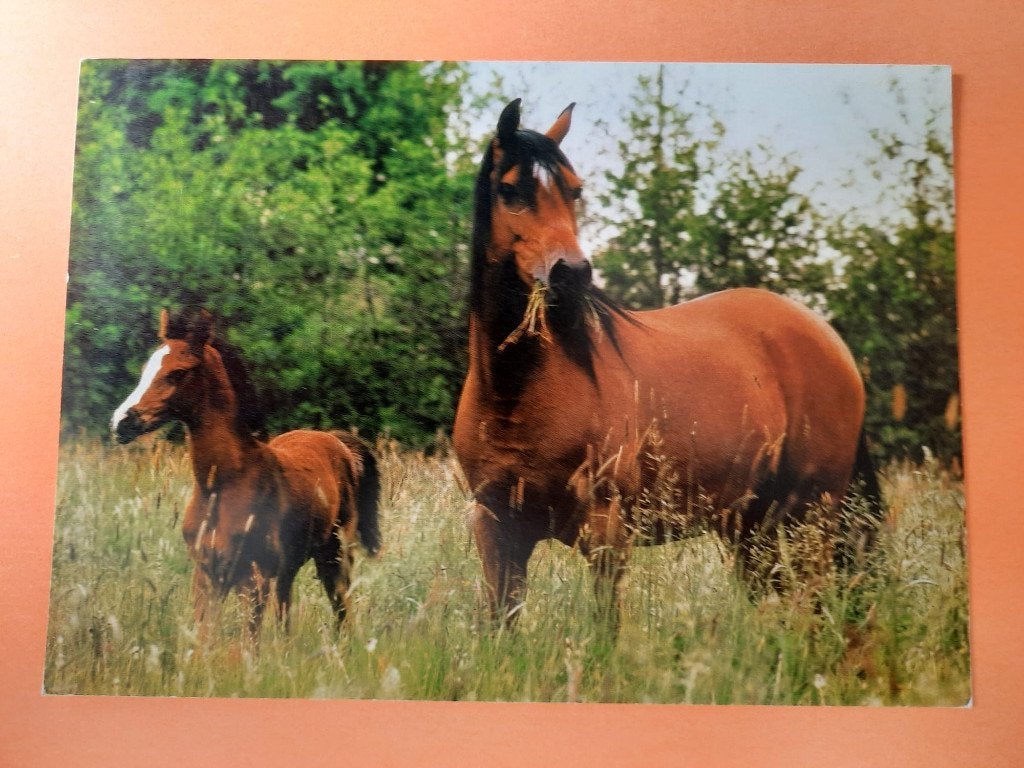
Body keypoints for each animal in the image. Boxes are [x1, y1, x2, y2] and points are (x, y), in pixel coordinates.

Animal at [111, 307, 381, 643]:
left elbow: (247, 645)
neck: (223, 485)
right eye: (146, 368)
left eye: (177, 373)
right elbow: (204, 640)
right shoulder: (206, 576)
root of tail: (337, 441)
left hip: (336, 556)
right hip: (290, 566)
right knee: (286, 611)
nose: (121, 423)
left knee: (342, 611)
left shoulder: (252, 580)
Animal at [453, 99, 881, 629]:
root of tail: (830, 339)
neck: (517, 390)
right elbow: (501, 626)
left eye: (575, 190)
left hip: (811, 517)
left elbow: (604, 630)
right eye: (510, 190)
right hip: (750, 526)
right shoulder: (496, 527)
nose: (571, 274)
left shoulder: (606, 532)